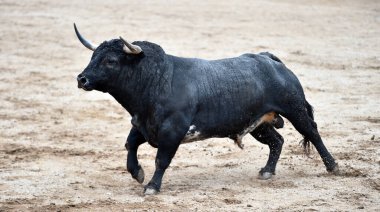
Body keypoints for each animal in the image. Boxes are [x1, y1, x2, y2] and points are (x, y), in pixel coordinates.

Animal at [74, 24, 338, 195]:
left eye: (111, 61)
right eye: (93, 56)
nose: (82, 79)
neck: (156, 80)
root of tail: (269, 59)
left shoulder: (172, 131)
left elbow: (161, 160)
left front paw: (151, 186)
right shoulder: (143, 124)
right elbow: (130, 144)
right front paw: (137, 172)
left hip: (295, 109)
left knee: (312, 133)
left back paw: (332, 166)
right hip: (257, 123)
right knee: (277, 141)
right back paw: (266, 171)